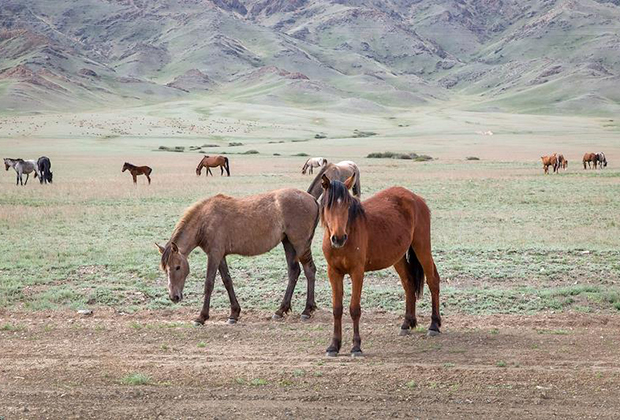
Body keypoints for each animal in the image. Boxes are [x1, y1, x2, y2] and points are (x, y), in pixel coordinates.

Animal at [155, 188, 320, 324]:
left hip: (300, 244)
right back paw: (280, 310)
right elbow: (227, 281)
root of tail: (312, 198)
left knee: (309, 270)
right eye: (166, 269)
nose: (174, 297)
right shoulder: (220, 256)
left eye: (177, 267)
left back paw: (307, 310)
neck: (206, 219)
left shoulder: (214, 255)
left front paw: (201, 317)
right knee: (294, 272)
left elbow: (209, 283)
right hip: (288, 243)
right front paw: (234, 313)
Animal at [320, 174, 440, 358]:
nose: (338, 238)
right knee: (409, 284)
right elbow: (337, 309)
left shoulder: (357, 272)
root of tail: (417, 199)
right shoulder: (333, 272)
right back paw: (406, 324)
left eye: (347, 205)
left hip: (422, 247)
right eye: (328, 205)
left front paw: (356, 347)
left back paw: (434, 325)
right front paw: (333, 346)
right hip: (398, 257)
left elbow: (354, 309)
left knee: (433, 280)